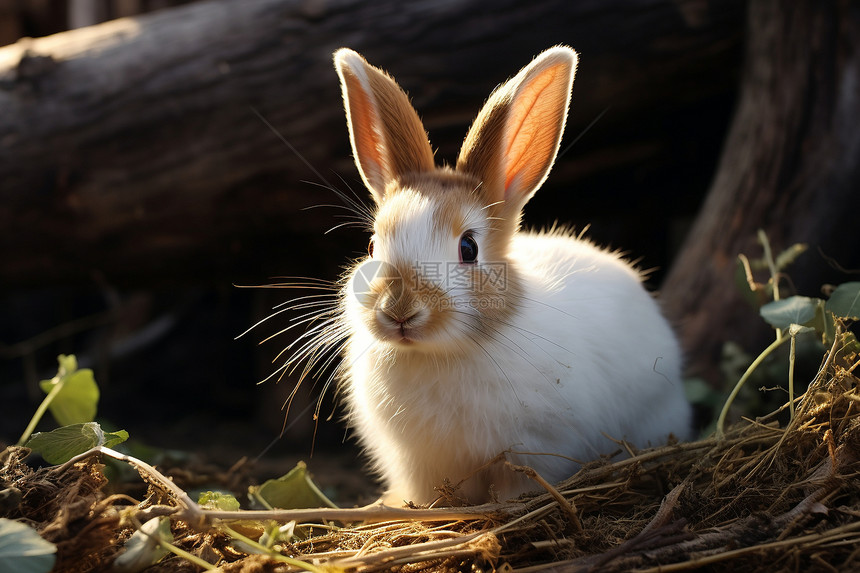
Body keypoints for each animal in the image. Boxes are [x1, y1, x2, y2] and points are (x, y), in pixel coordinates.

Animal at [330, 45, 692, 504]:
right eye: (372, 246)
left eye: (469, 248)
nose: (399, 312)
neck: (440, 352)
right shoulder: (418, 464)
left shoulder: (536, 447)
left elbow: (518, 486)